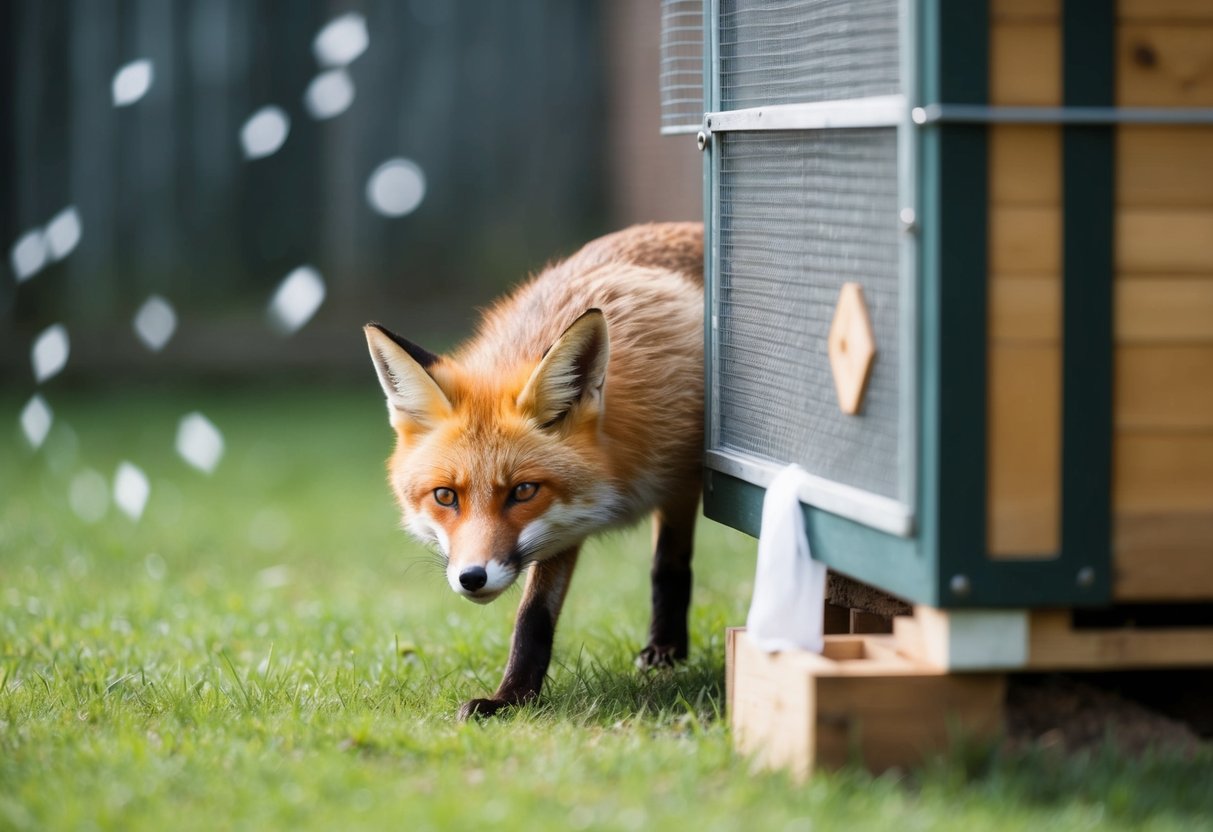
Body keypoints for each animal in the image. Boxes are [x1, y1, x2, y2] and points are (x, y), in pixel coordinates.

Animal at [364, 222, 704, 719]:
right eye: (445, 496)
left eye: (522, 491)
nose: (472, 577)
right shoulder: (566, 523)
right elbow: (533, 616)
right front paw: (512, 698)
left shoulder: (679, 476)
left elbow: (669, 564)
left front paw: (669, 652)